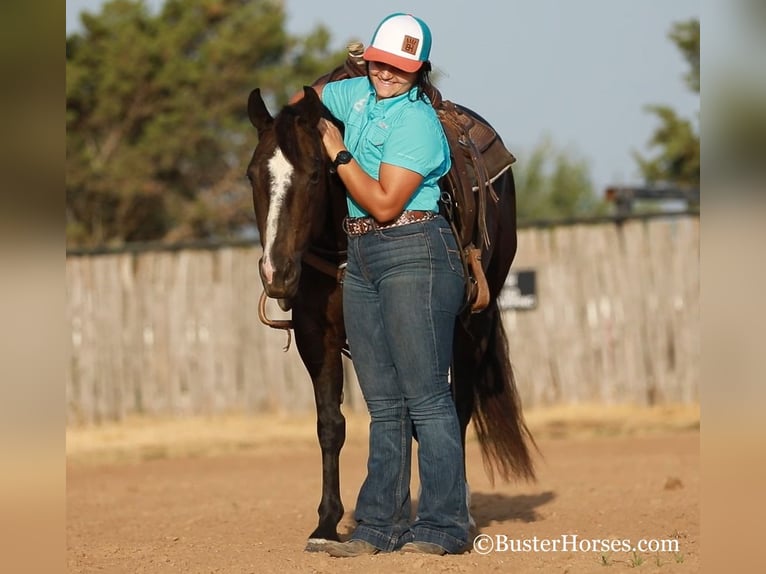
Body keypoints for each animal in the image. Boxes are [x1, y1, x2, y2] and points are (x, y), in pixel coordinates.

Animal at [249, 85, 536, 552]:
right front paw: (326, 524)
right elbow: (331, 424)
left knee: (457, 408)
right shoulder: (317, 336)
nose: (277, 272)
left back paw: (455, 517)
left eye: (314, 175)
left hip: (469, 328)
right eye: (253, 175)